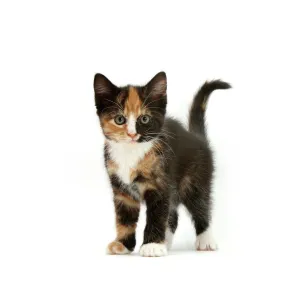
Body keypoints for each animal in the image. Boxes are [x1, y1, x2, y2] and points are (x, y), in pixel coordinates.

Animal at [93, 71, 230, 256]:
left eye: (144, 119)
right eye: (119, 119)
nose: (132, 134)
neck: (131, 152)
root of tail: (196, 137)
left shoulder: (160, 183)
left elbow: (157, 215)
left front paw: (152, 245)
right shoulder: (122, 190)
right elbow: (124, 218)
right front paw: (123, 244)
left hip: (195, 178)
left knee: (201, 205)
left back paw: (205, 239)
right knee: (173, 215)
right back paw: (166, 240)